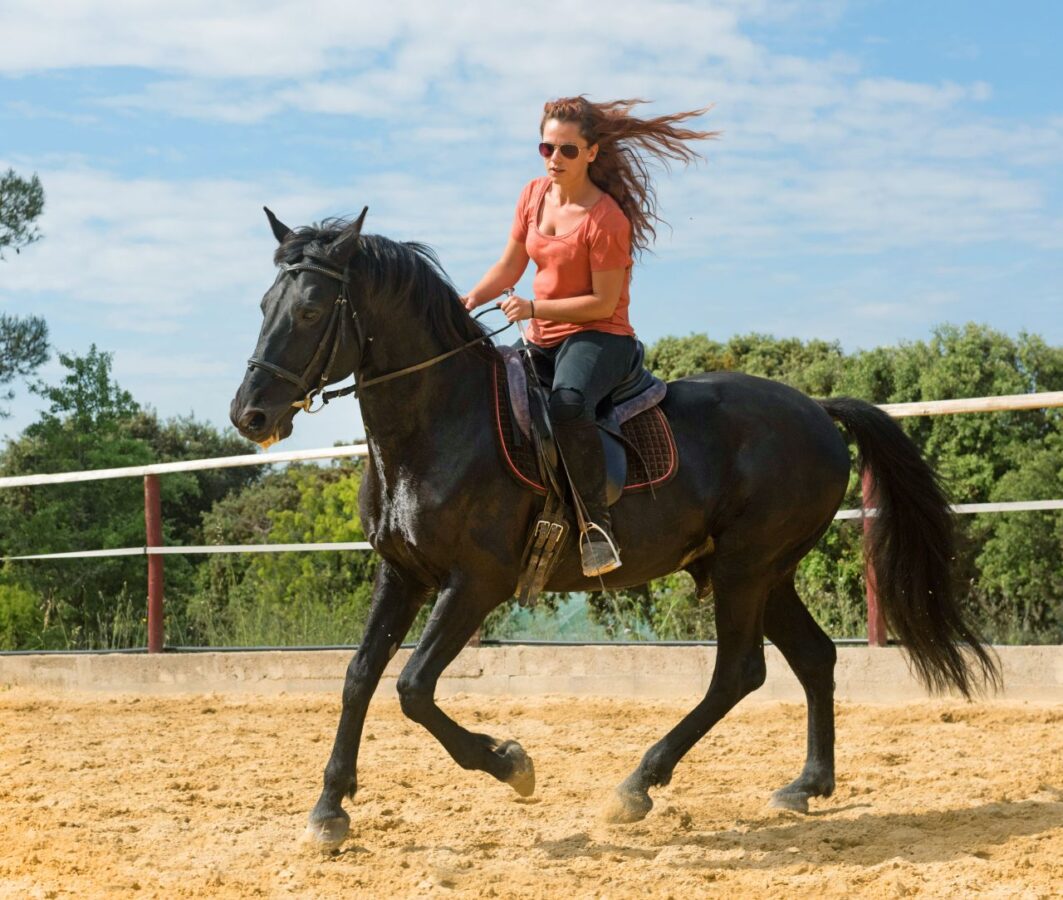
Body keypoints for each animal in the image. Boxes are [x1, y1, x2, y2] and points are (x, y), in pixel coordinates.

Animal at [228, 209, 999, 845]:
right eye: (264, 305)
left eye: (310, 308)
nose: (249, 413)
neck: (441, 422)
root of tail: (815, 408)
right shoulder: (404, 574)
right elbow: (359, 675)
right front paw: (330, 809)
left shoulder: (475, 582)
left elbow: (413, 686)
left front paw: (511, 764)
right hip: (762, 571)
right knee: (813, 658)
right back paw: (805, 786)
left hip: (746, 568)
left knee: (739, 672)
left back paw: (636, 787)